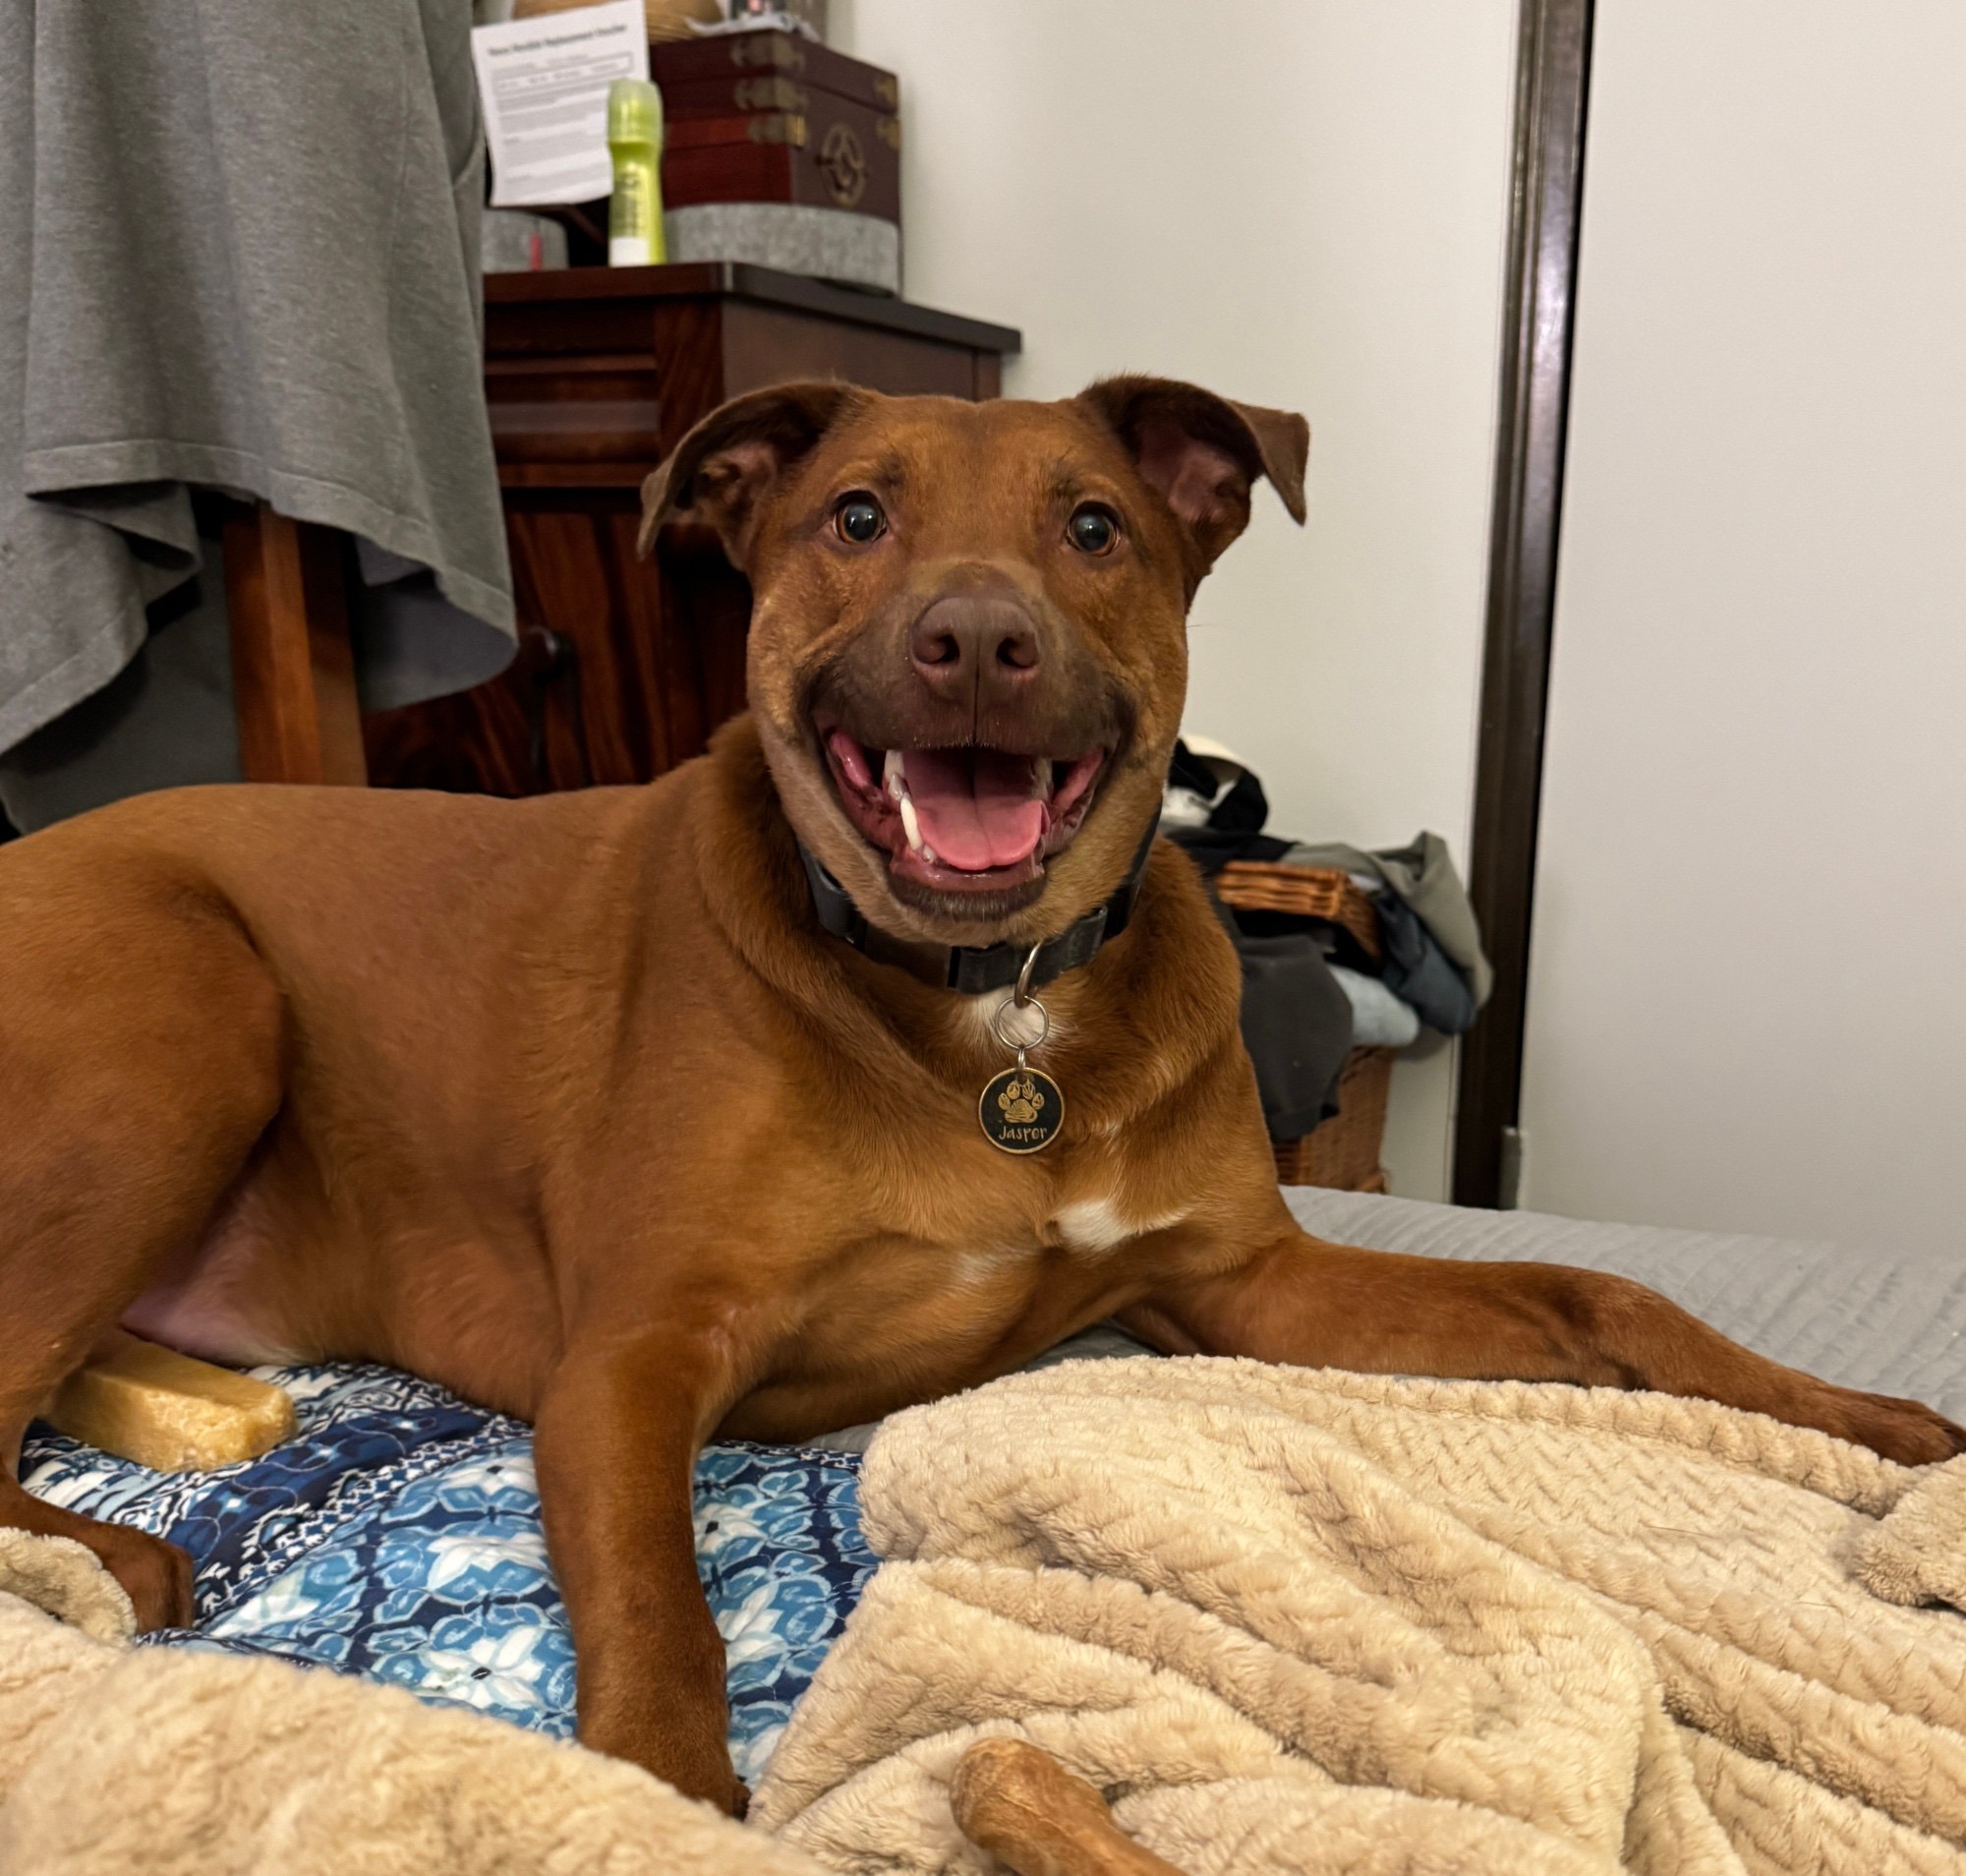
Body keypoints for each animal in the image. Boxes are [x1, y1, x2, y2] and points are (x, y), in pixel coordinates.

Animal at [3, 376, 1959, 1814]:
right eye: (855, 517)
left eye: (1094, 528)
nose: (973, 639)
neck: (999, 1009)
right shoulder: (629, 1360)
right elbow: (660, 1608)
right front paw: (667, 1798)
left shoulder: (1246, 1286)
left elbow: (1602, 1295)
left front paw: (1863, 1423)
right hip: (191, 1008)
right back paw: (117, 1567)